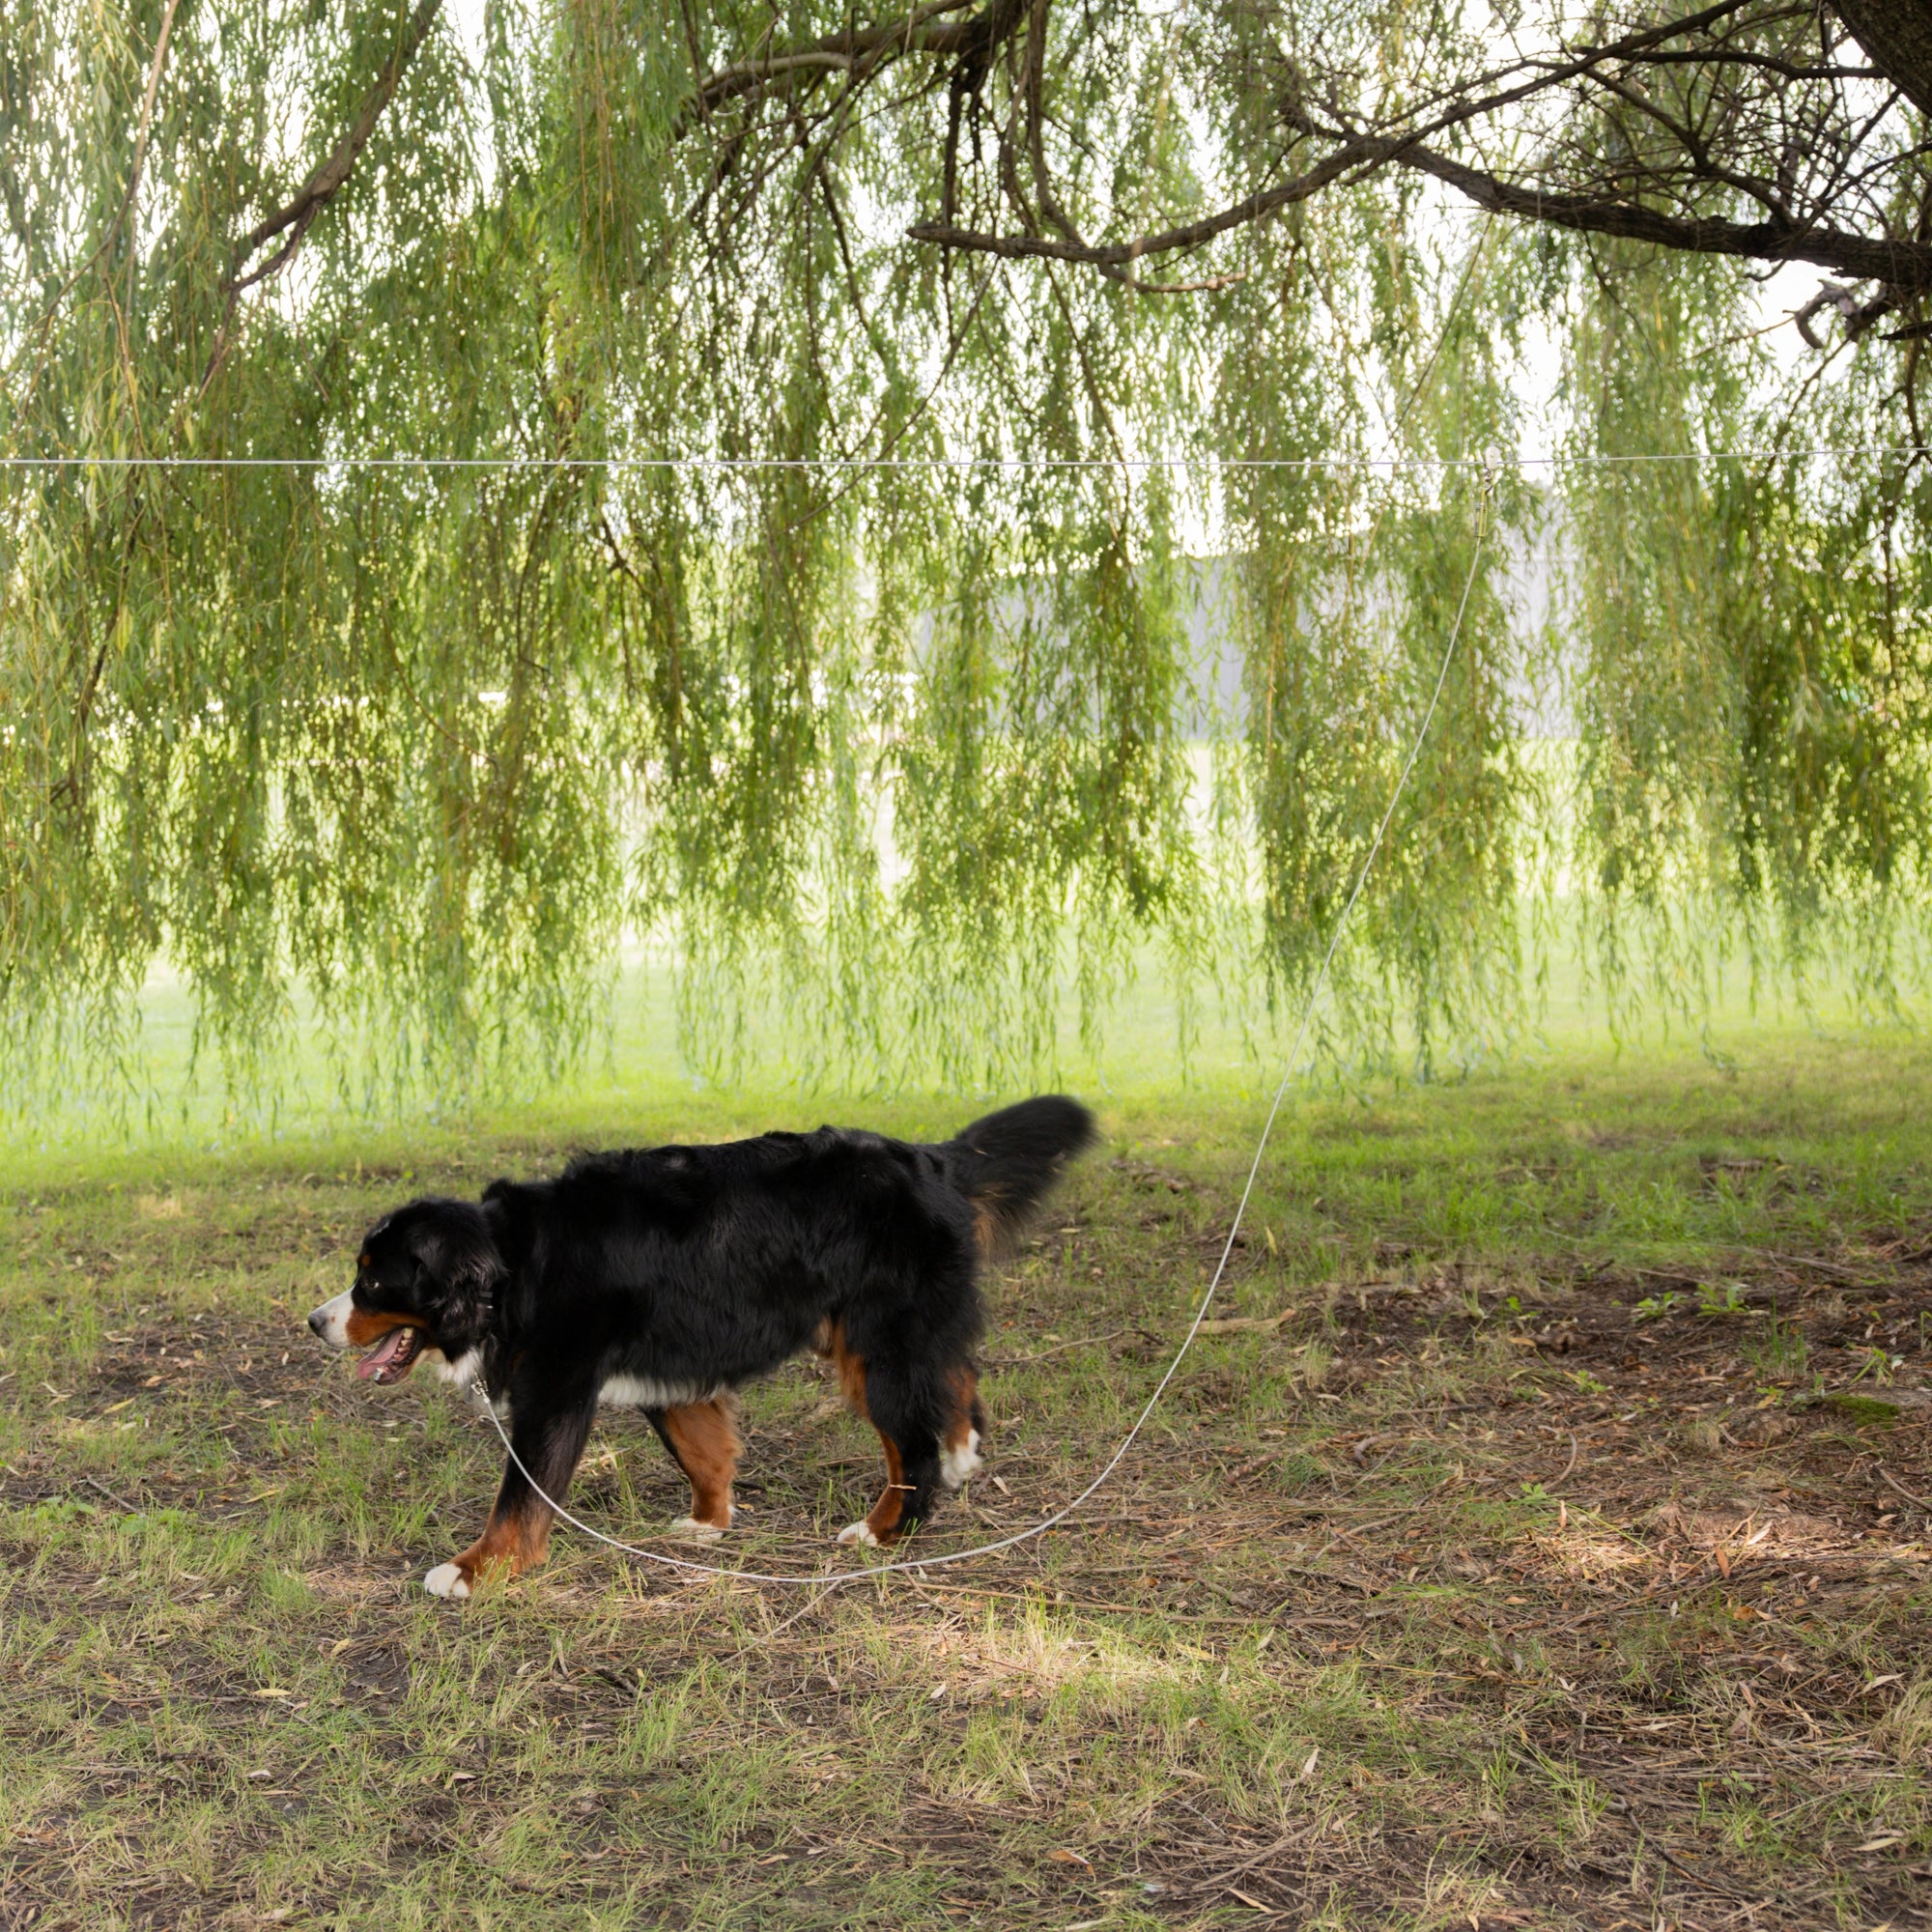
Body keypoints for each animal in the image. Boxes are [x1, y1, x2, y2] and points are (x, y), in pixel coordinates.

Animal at [301, 1097, 1090, 1592]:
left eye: (372, 1282)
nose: (316, 1320)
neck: (515, 1265)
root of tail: (928, 1158)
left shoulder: (554, 1391)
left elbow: (519, 1501)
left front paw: (476, 1570)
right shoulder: (671, 1371)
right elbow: (702, 1450)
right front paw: (709, 1523)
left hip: (877, 1348)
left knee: (911, 1448)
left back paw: (885, 1529)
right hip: (895, 1333)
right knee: (954, 1379)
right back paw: (961, 1453)